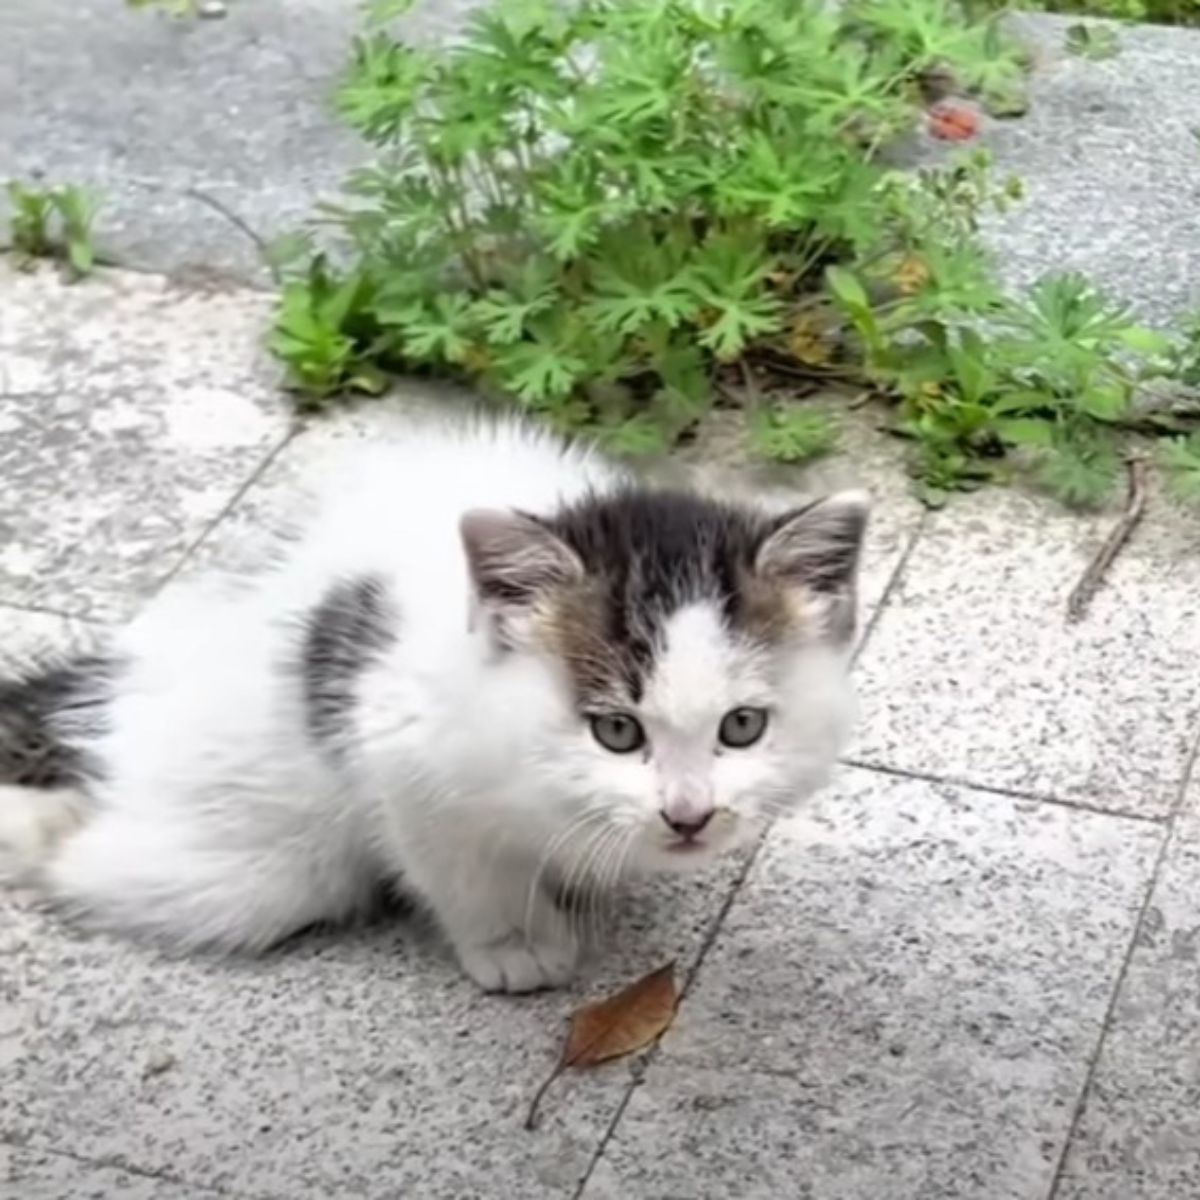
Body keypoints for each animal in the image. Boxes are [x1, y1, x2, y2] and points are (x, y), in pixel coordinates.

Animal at [0, 415, 864, 993]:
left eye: (742, 727)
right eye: (617, 731)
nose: (688, 816)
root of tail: (138, 668)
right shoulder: (395, 747)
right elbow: (454, 860)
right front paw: (514, 942)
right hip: (260, 853)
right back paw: (35, 832)